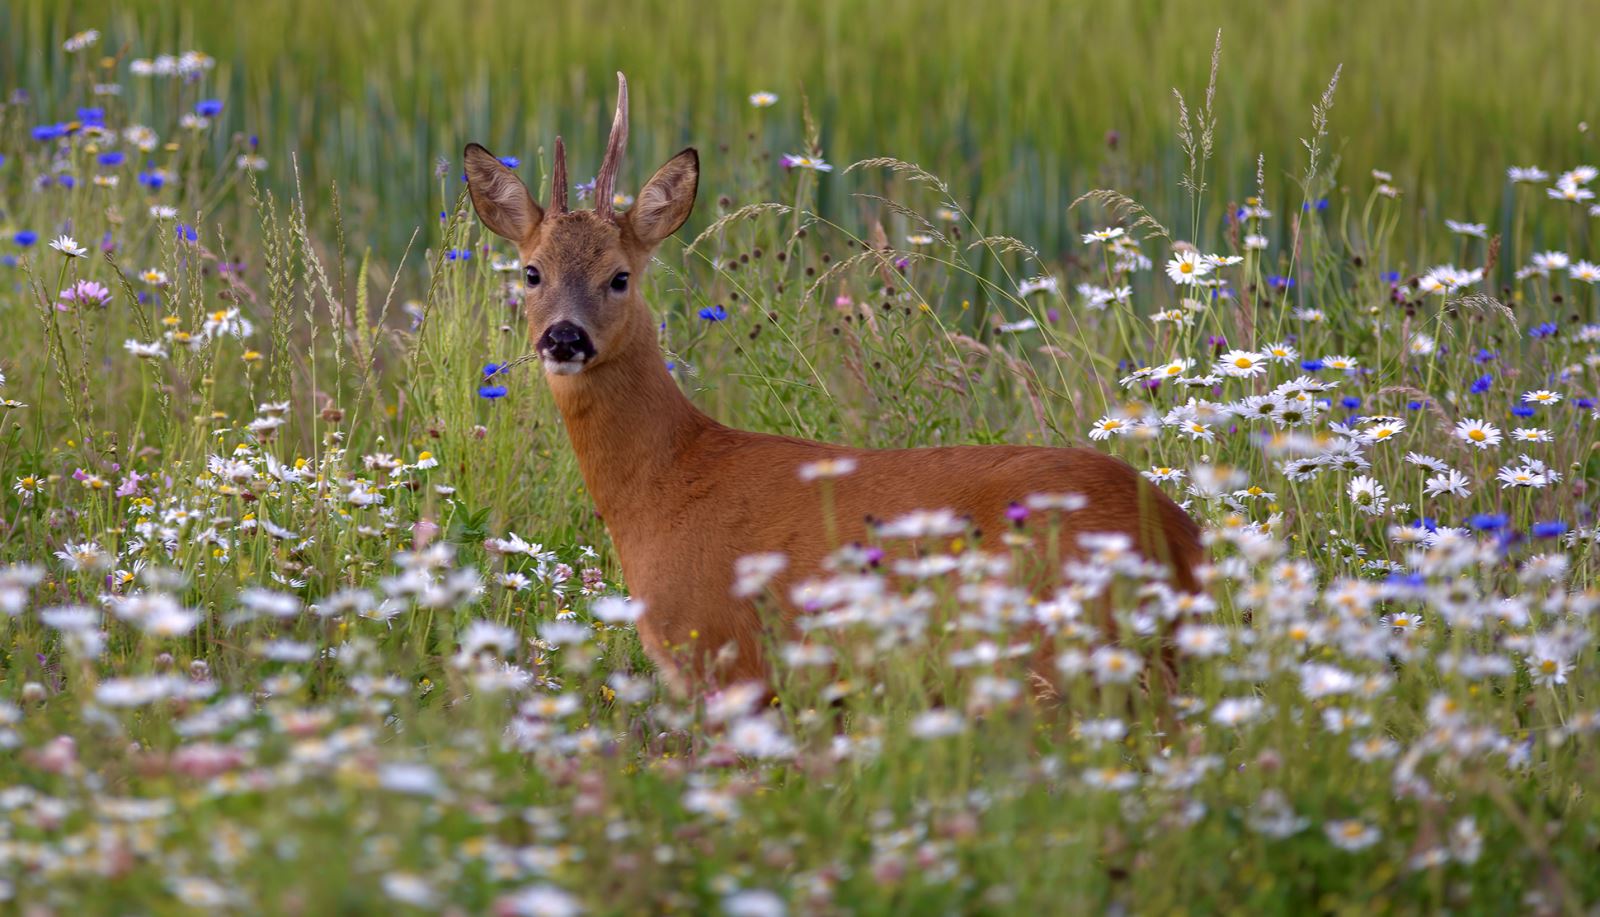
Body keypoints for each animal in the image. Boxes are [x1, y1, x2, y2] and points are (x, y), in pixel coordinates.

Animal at [464, 75, 1203, 697]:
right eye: (531, 271)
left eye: (619, 276)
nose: (564, 338)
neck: (665, 481)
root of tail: (1182, 540)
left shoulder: (727, 661)